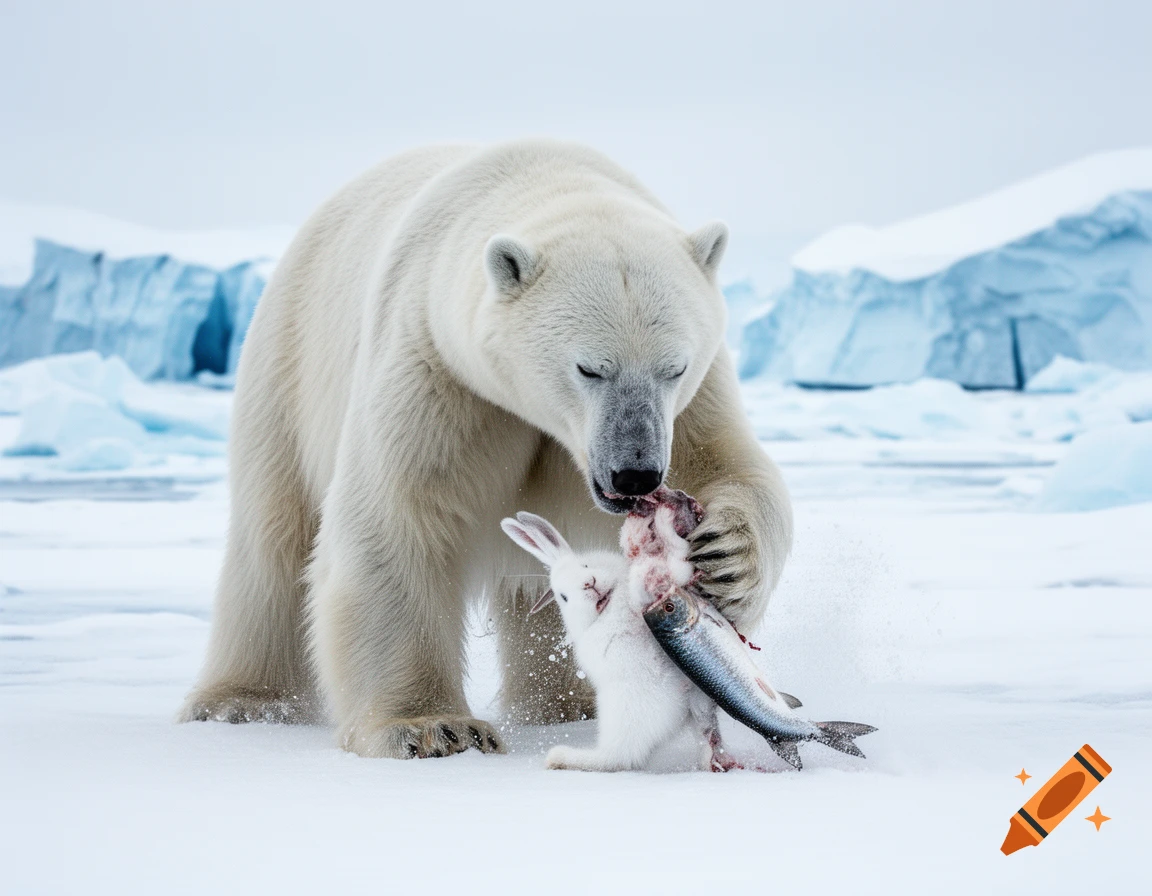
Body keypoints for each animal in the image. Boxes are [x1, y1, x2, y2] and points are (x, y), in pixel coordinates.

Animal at [501, 510, 734, 772]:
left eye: (585, 564)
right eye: (564, 597)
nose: (588, 583)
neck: (610, 601)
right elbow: (677, 561)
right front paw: (664, 521)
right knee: (619, 759)